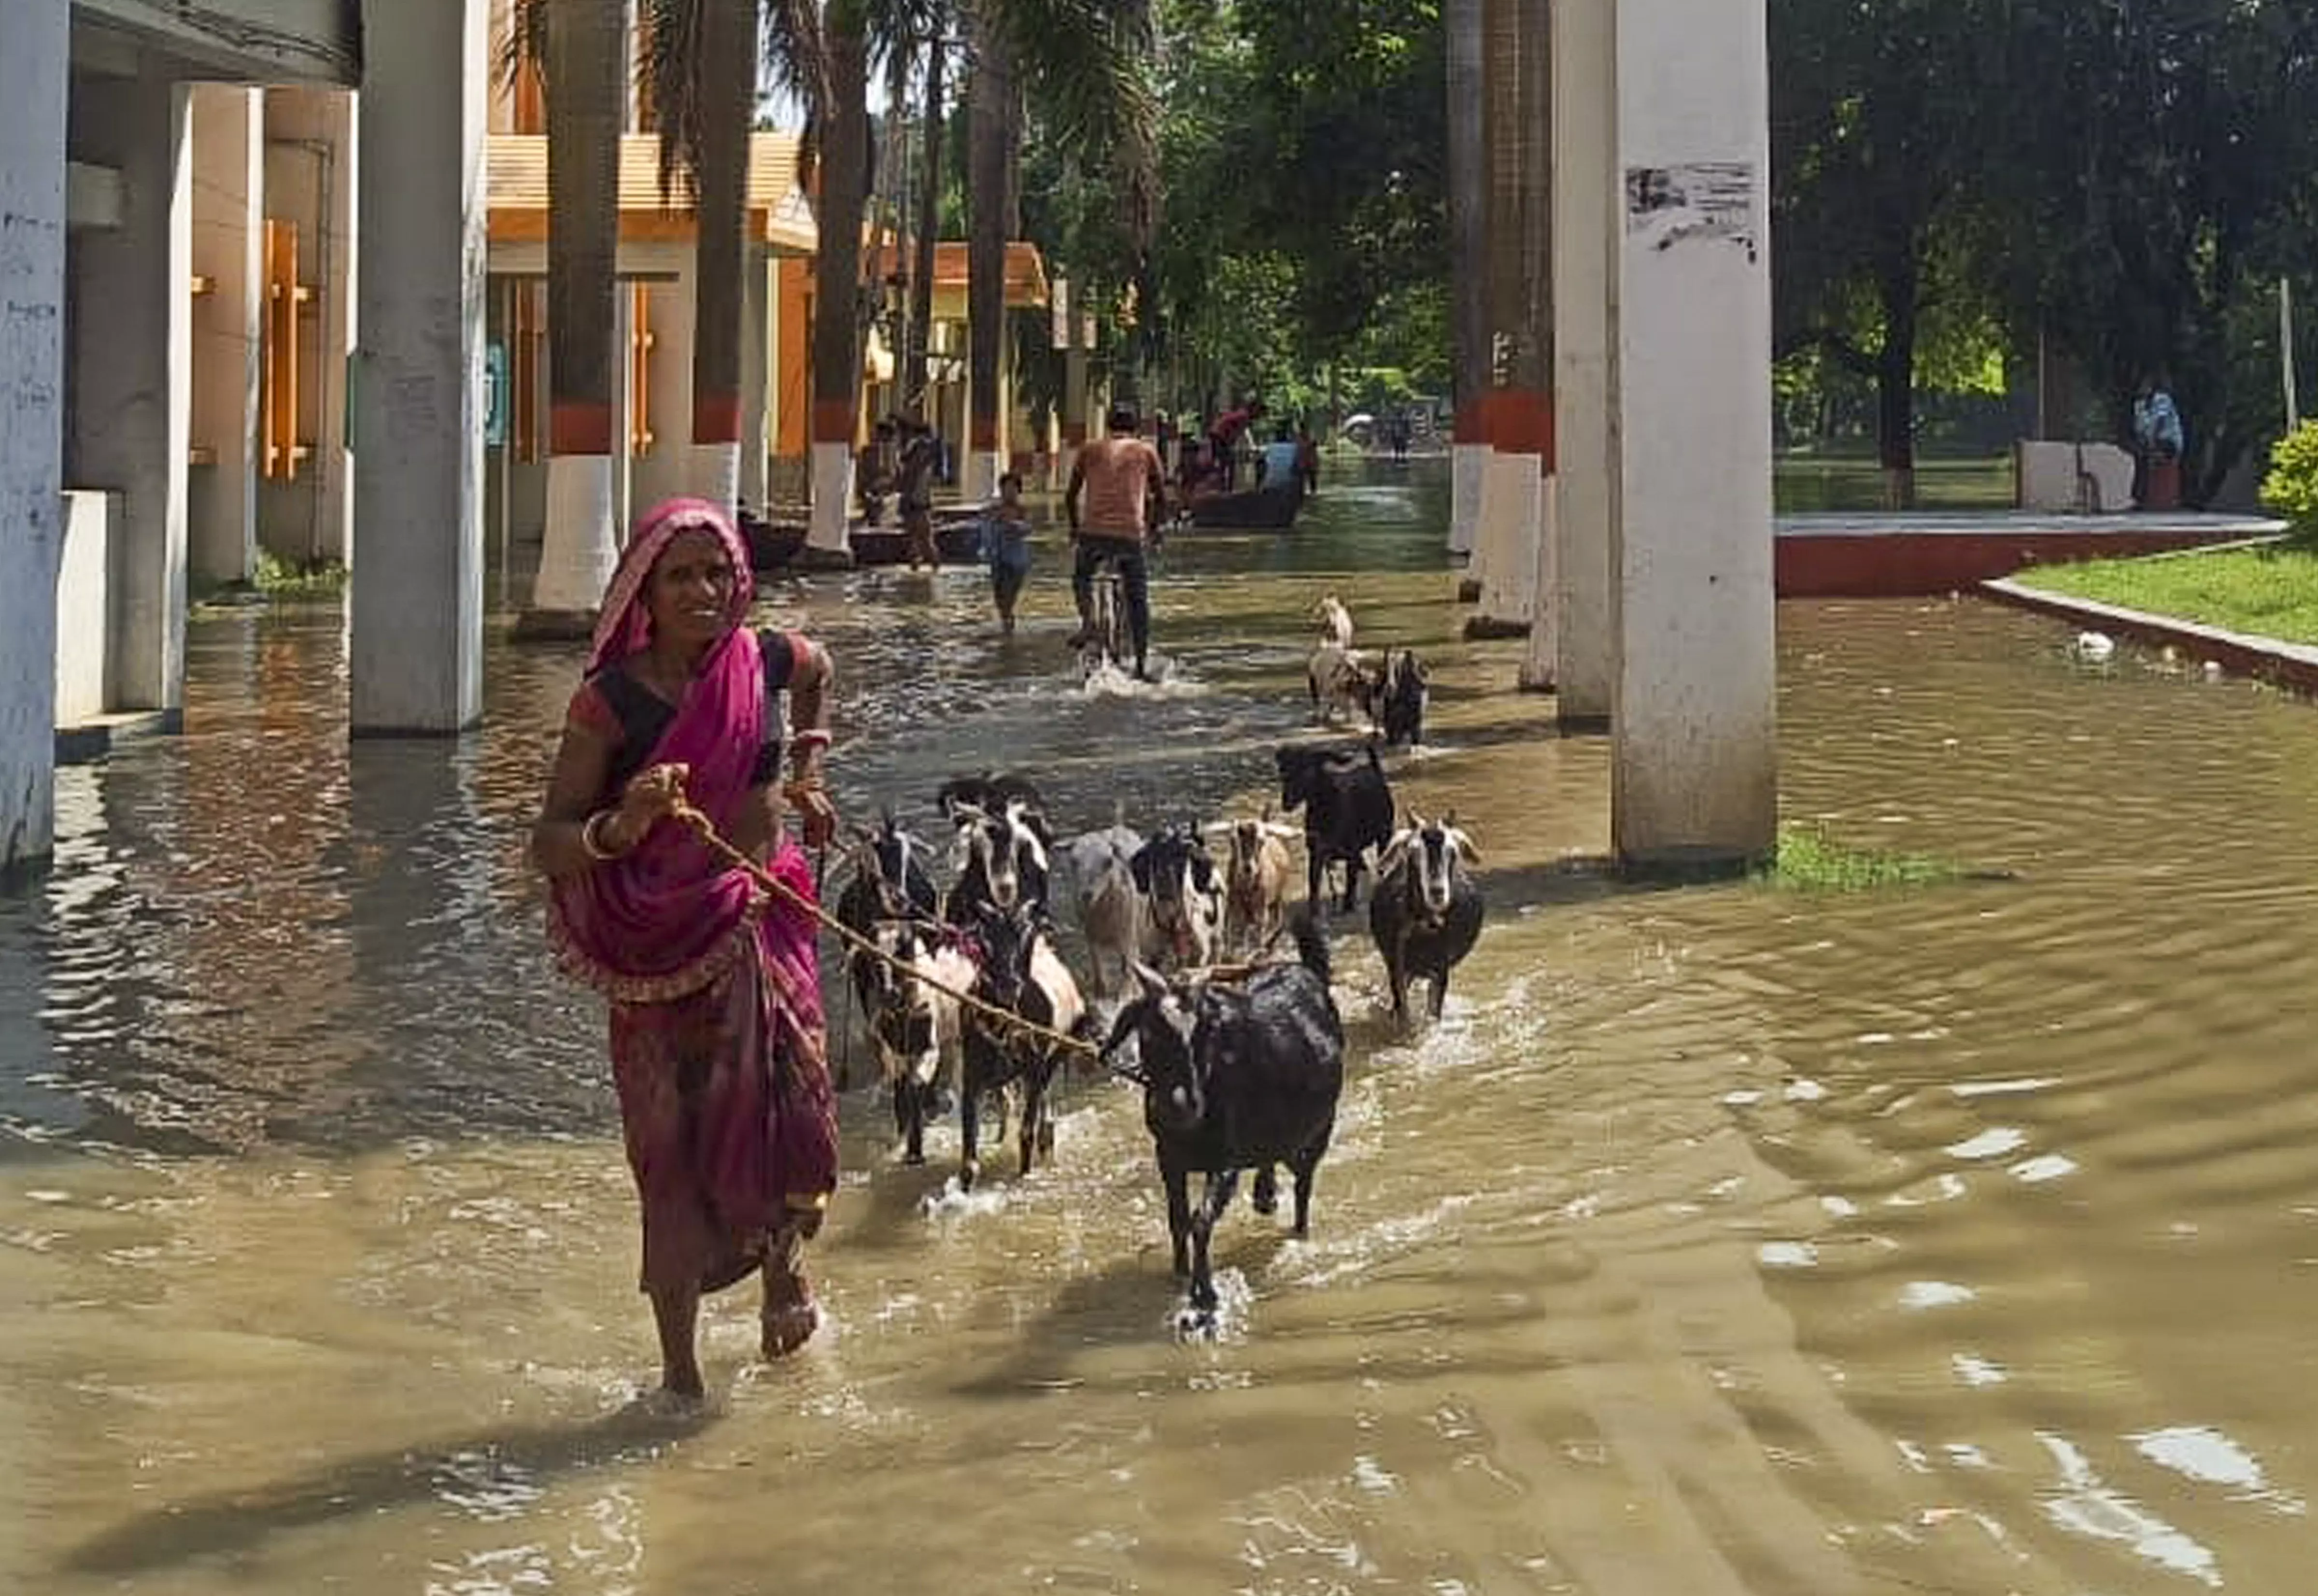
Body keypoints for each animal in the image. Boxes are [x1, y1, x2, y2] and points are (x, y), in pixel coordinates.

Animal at [1099, 917, 1344, 1315]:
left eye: (1205, 1032)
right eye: (1149, 1032)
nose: (1182, 1105)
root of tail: (1308, 973)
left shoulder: (1225, 1162)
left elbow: (1201, 1220)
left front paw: (1205, 1295)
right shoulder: (1168, 1157)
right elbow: (1179, 1219)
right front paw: (1180, 1273)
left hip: (1318, 1130)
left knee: (1304, 1184)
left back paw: (1297, 1229)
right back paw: (1265, 1195)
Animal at [1279, 736, 1381, 903]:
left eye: (1308, 771)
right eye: (1285, 773)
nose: (1286, 801)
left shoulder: (1350, 853)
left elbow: (1350, 891)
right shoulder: (1317, 853)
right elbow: (1314, 890)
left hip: (1384, 834)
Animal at [1354, 810, 1484, 1019]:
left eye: (1453, 852)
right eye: (1413, 852)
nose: (1437, 892)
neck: (1425, 930)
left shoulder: (1441, 970)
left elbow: (1433, 1013)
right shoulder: (1397, 965)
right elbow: (1402, 1011)